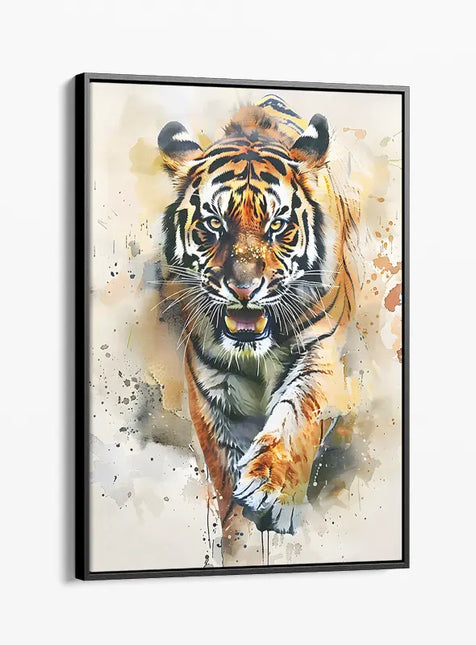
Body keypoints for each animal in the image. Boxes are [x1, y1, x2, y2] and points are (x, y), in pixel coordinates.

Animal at [156, 93, 360, 541]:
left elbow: (298, 417)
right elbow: (223, 462)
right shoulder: (211, 382)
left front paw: (270, 487)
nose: (244, 288)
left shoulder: (319, 354)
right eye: (214, 224)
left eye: (277, 225)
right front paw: (237, 524)